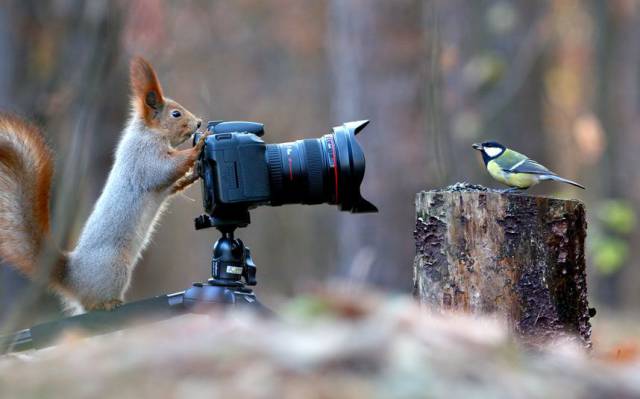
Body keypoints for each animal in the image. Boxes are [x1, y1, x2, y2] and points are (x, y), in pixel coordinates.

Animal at [0, 57, 206, 312]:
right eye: (176, 114)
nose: (199, 123)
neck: (148, 132)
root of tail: (73, 278)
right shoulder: (143, 158)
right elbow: (165, 169)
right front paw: (199, 147)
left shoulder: (160, 180)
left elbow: (172, 184)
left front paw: (194, 173)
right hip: (116, 268)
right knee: (92, 304)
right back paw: (109, 303)